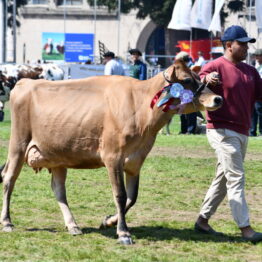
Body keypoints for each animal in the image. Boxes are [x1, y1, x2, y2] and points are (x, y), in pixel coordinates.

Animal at [0, 60, 223, 245]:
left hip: (57, 156)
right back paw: (7, 222)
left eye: (200, 77)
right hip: (18, 145)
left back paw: (73, 225)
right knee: (9, 179)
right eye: (186, 80)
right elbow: (120, 195)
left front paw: (108, 221)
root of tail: (25, 82)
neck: (141, 108)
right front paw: (123, 233)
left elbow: (132, 197)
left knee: (58, 189)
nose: (218, 99)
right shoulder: (112, 157)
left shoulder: (135, 161)